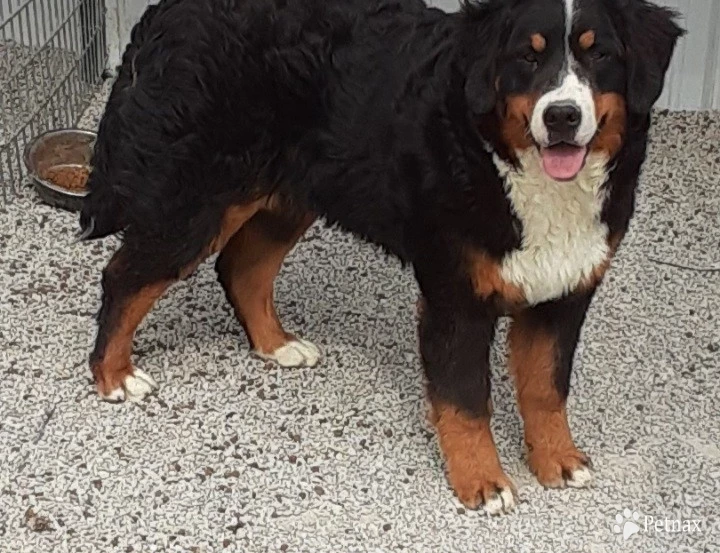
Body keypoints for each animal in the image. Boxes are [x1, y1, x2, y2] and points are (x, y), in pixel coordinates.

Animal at [81, 0, 684, 512]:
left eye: (599, 54)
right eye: (526, 57)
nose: (561, 116)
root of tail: (164, 14)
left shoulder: (565, 290)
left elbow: (545, 388)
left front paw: (557, 459)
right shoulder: (456, 296)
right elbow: (466, 401)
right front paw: (482, 482)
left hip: (289, 196)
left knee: (241, 269)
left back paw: (277, 345)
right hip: (193, 201)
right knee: (124, 277)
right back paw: (114, 376)